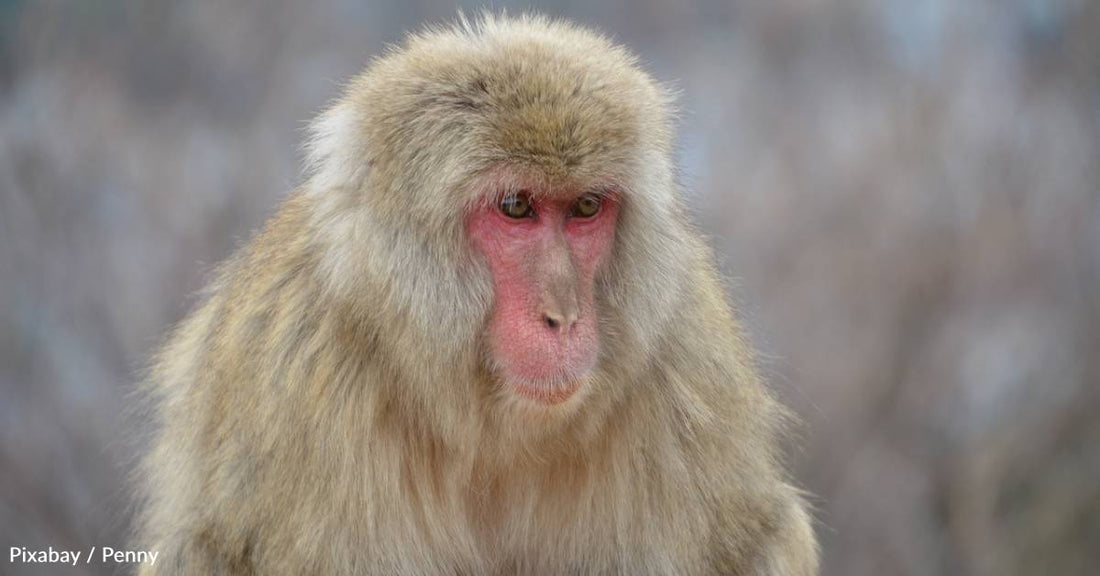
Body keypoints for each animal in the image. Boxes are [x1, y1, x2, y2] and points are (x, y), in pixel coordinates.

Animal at [133, 14, 818, 576]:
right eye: (516, 207)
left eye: (586, 207)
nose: (564, 316)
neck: (489, 424)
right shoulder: (300, 382)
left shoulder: (686, 362)